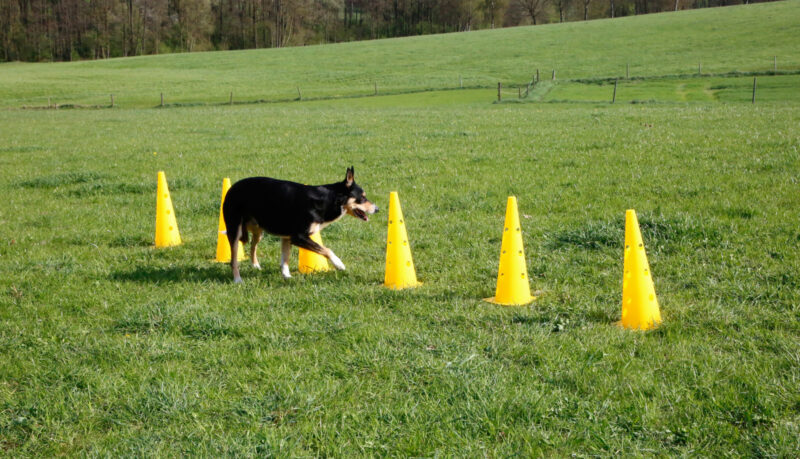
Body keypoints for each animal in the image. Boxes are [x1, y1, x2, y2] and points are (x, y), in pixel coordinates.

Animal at [222, 167, 378, 282]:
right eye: (362, 197)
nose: (377, 209)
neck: (329, 200)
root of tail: (233, 187)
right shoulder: (298, 237)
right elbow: (326, 250)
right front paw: (339, 264)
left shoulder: (287, 237)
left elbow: (285, 259)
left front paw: (287, 276)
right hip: (234, 229)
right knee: (234, 260)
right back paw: (237, 279)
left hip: (258, 230)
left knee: (253, 246)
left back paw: (255, 265)